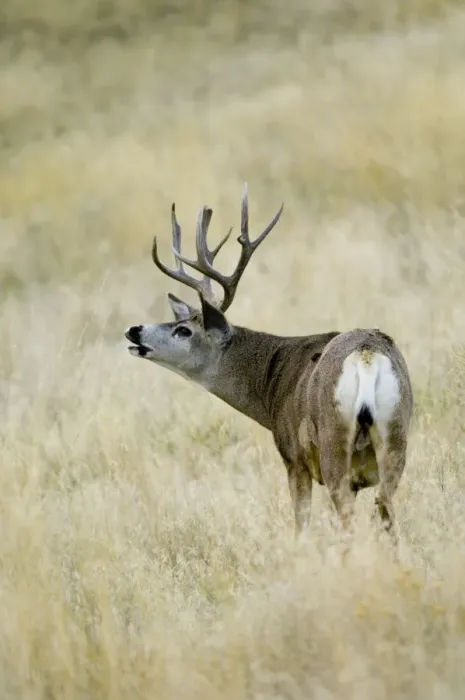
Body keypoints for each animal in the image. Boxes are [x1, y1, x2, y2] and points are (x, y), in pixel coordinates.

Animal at [125, 184, 414, 541]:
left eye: (184, 330)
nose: (134, 330)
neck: (271, 384)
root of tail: (366, 354)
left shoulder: (294, 457)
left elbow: (300, 524)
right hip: (395, 436)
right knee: (386, 509)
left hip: (333, 443)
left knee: (348, 517)